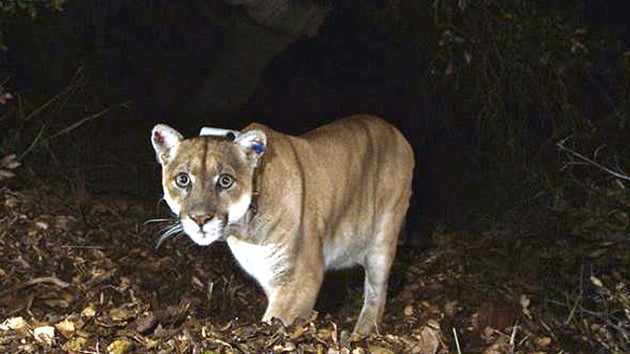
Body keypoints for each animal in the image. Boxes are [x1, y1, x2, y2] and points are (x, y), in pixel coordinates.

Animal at [151, 115, 418, 334]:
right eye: (183, 179)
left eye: (225, 181)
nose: (200, 219)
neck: (244, 231)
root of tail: (396, 131)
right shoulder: (271, 276)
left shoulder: (302, 275)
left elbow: (275, 319)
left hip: (383, 237)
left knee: (376, 292)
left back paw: (361, 333)